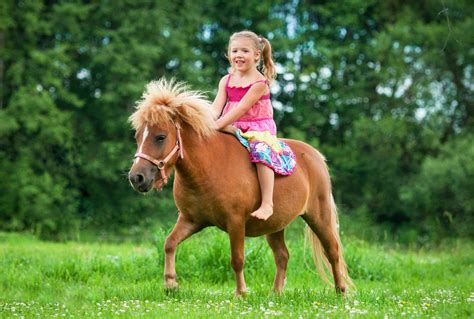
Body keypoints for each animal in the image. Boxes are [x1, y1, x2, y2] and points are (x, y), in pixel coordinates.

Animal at [128, 79, 354, 296]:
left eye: (160, 137)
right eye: (138, 137)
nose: (136, 177)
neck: (207, 168)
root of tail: (316, 156)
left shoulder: (235, 221)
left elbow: (237, 258)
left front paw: (240, 293)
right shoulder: (191, 220)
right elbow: (169, 243)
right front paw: (170, 284)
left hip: (319, 216)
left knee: (332, 251)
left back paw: (341, 292)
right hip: (275, 225)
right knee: (282, 256)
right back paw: (276, 294)